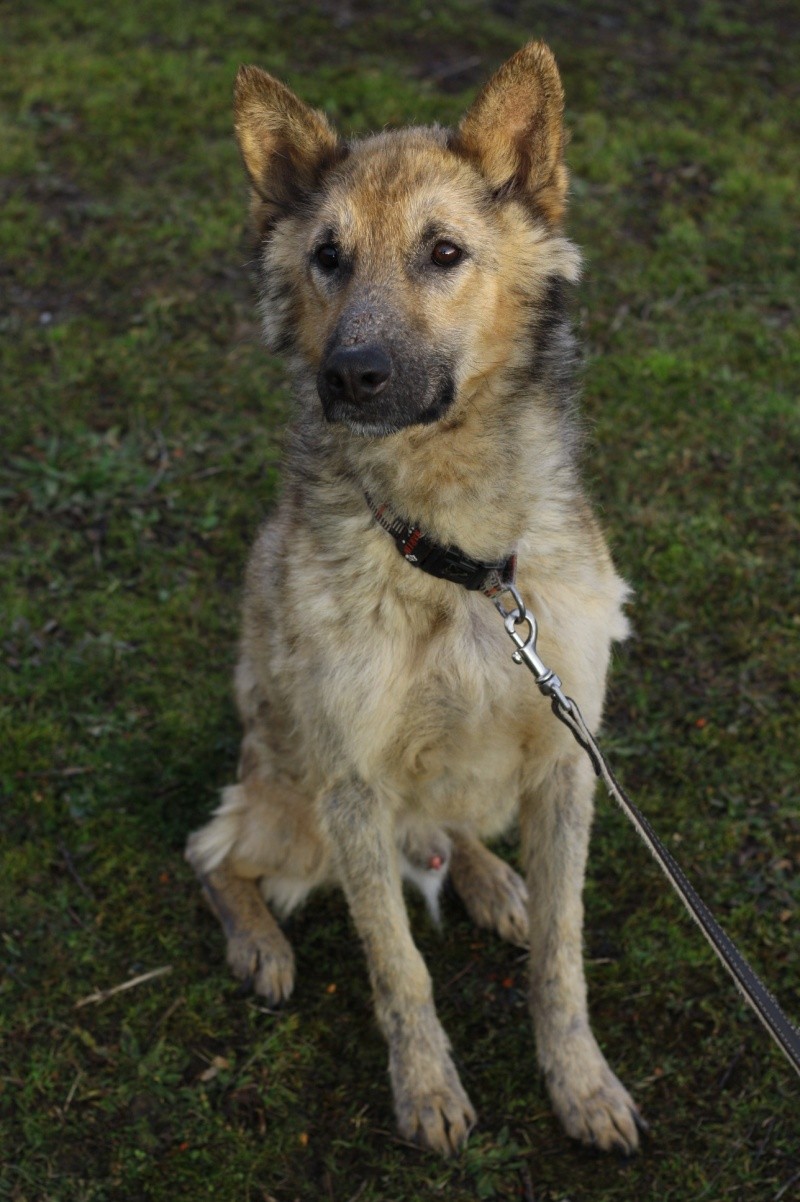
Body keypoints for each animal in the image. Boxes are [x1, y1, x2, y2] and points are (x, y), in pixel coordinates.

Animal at [184, 39, 643, 1153]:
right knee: (213, 848)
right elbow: (398, 965)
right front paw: (426, 1088)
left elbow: (561, 956)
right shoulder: (350, 785)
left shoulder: (565, 759)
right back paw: (259, 944)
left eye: (443, 252)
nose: (351, 375)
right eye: (327, 257)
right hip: (292, 808)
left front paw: (581, 1083)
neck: (459, 561)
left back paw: (488, 877)